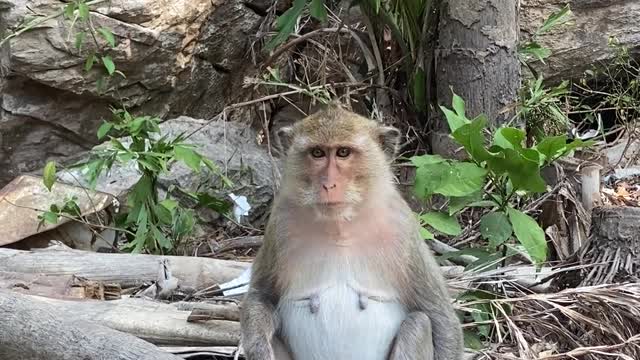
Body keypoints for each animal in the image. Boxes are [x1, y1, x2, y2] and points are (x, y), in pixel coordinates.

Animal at [242, 103, 462, 360]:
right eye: (317, 153)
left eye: (343, 152)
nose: (328, 184)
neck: (339, 226)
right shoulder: (280, 224)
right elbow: (261, 296)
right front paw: (258, 347)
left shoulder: (403, 228)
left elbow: (439, 316)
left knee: (418, 323)